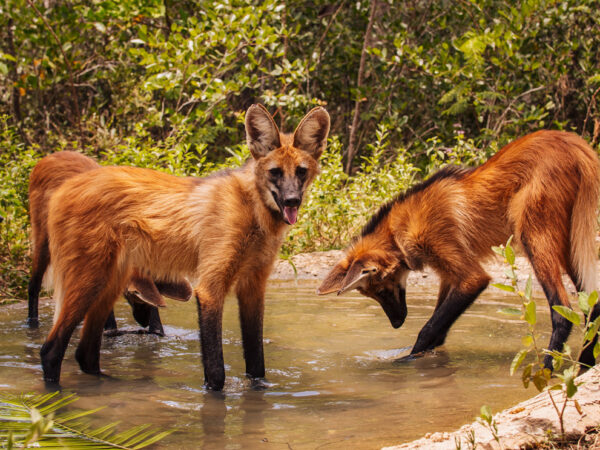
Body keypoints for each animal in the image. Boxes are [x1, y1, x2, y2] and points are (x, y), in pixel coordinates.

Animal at [27, 151, 192, 334]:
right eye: (134, 297)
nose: (144, 323)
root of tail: (51, 156)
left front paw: (156, 330)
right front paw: (110, 329)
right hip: (45, 240)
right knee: (34, 283)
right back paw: (32, 323)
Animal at [318, 129, 600, 370]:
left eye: (382, 291)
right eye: (374, 295)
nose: (397, 324)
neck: (402, 230)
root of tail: (575, 143)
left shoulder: (469, 276)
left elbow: (429, 328)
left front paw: (405, 361)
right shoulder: (449, 276)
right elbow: (439, 330)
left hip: (534, 237)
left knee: (563, 311)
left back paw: (549, 370)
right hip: (570, 243)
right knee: (591, 305)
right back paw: (584, 366)